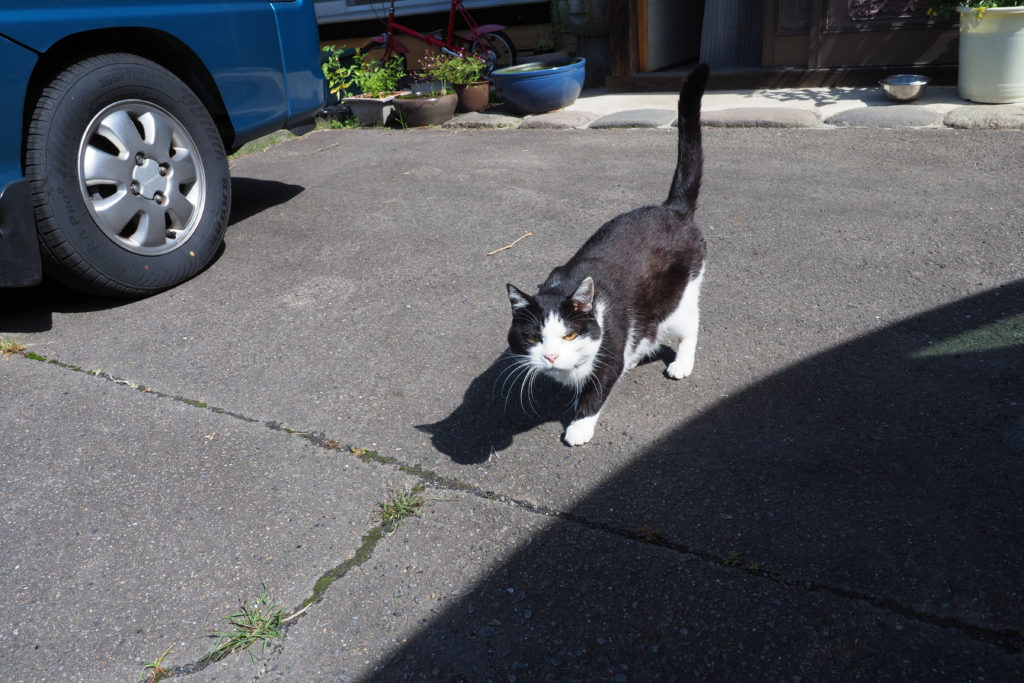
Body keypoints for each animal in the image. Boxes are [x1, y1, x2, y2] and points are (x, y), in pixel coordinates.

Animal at [503, 62, 712, 448]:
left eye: (569, 335)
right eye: (534, 338)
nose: (551, 356)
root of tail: (672, 208)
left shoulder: (611, 343)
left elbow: (599, 385)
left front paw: (579, 425)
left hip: (680, 295)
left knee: (691, 323)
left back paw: (682, 362)